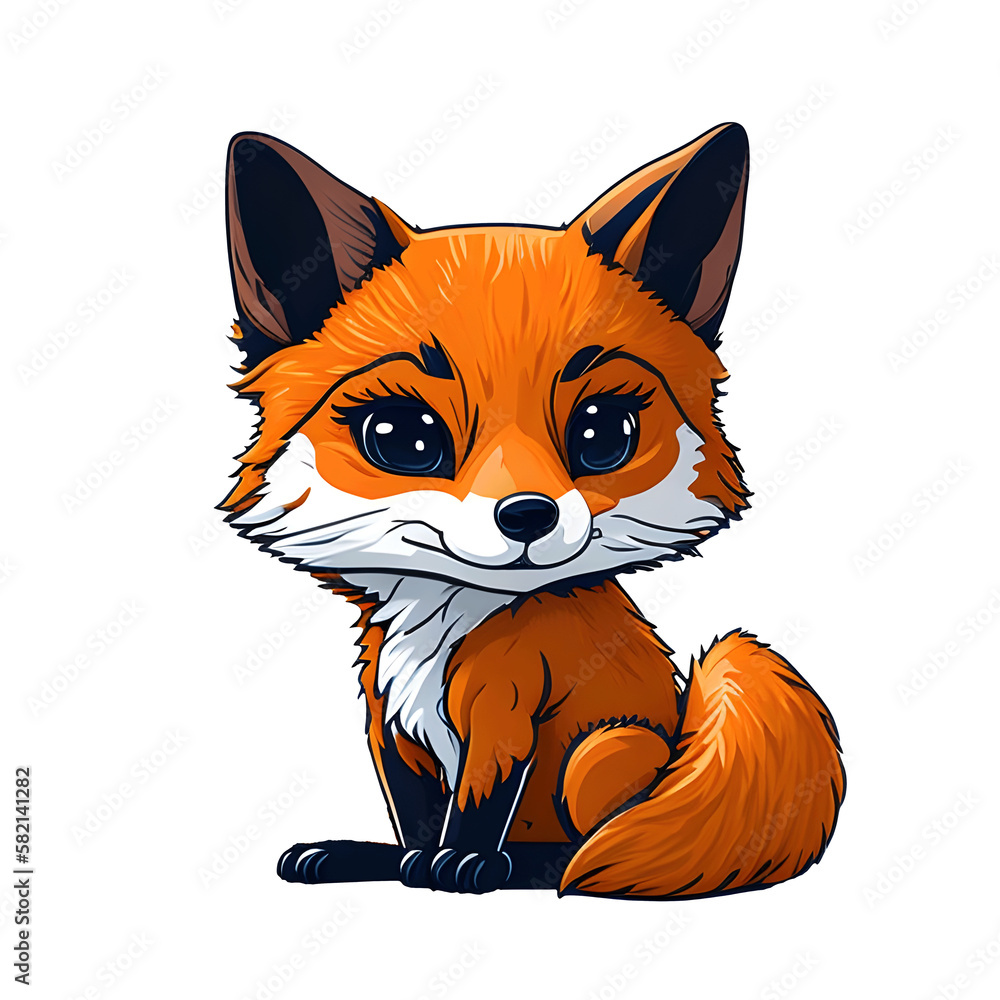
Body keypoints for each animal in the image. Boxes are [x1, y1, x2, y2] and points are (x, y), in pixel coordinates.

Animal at [220, 122, 845, 899]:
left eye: (603, 434)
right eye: (402, 437)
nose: (527, 517)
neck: (441, 625)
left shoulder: (506, 709)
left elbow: (477, 808)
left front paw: (463, 864)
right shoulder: (387, 717)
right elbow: (412, 816)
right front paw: (392, 860)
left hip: (606, 748)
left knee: (588, 842)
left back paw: (533, 864)